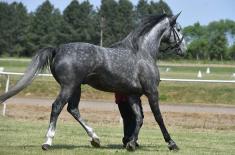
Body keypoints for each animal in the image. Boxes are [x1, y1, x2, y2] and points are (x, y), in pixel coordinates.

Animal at [0, 12, 185, 151]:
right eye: (178, 29)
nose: (183, 49)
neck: (143, 53)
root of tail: (57, 49)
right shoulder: (152, 91)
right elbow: (158, 117)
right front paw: (172, 143)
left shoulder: (133, 95)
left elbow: (139, 118)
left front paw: (131, 144)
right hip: (68, 87)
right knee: (57, 107)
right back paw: (48, 142)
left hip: (76, 88)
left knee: (73, 109)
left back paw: (95, 139)